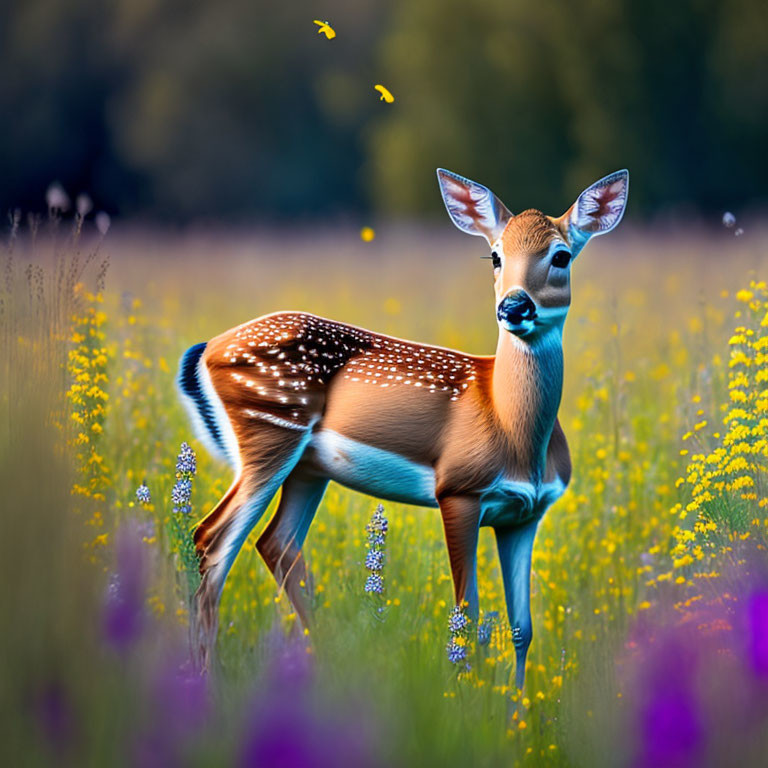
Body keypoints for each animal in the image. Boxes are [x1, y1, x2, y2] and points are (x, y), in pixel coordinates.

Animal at [178, 166, 632, 684]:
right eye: (495, 256)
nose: (514, 307)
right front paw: (464, 692)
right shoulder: (458, 490)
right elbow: (467, 613)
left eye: (561, 256)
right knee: (211, 541)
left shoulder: (526, 514)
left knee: (275, 544)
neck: (511, 428)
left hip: (307, 467)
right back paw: (203, 677)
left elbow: (522, 628)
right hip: (269, 430)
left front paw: (516, 705)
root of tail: (208, 348)